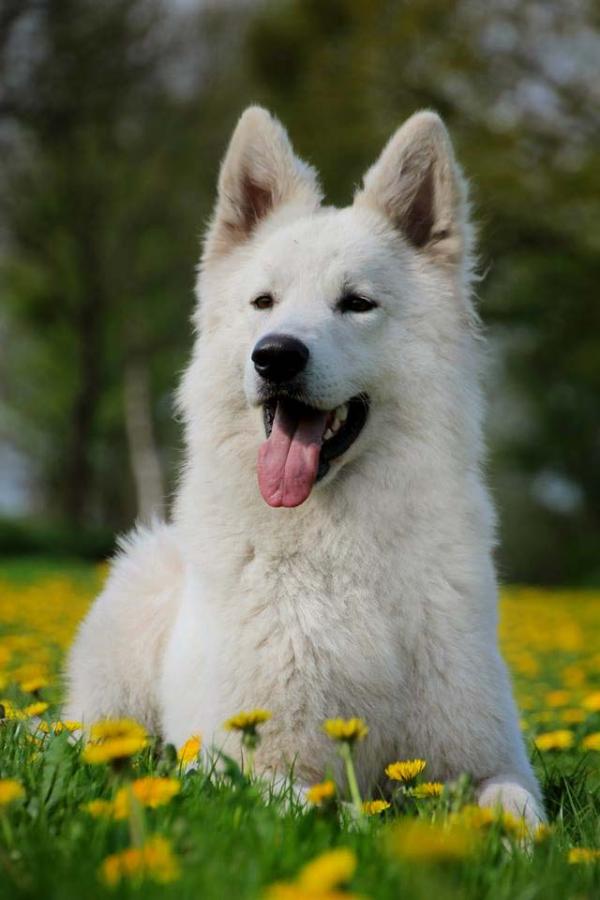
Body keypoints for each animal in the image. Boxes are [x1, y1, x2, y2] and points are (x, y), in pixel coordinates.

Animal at [64, 107, 544, 824]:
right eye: (264, 302)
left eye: (357, 303)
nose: (275, 356)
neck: (337, 543)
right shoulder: (242, 765)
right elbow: (332, 812)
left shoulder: (491, 760)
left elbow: (520, 811)